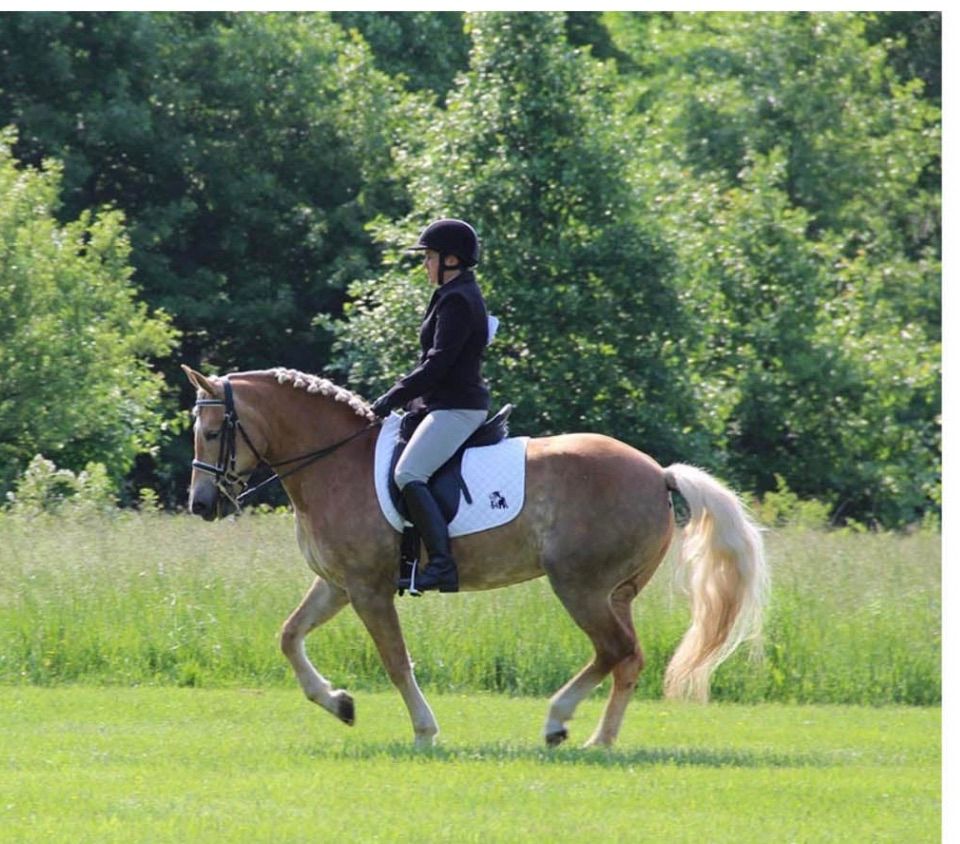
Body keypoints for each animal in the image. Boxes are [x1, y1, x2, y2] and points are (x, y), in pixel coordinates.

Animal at [184, 366, 768, 748]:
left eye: (212, 433)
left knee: (613, 650)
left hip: (579, 586)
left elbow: (395, 660)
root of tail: (658, 472)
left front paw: (424, 731)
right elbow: (289, 635)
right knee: (628, 658)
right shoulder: (338, 584)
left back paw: (558, 723)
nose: (200, 505)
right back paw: (598, 740)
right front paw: (339, 702)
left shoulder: (369, 589)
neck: (334, 462)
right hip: (614, 592)